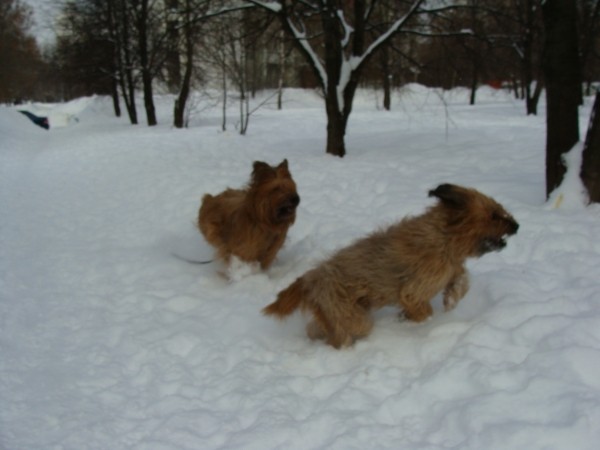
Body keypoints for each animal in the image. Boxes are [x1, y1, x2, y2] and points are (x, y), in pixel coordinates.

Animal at [264, 183, 516, 348]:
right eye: (494, 215)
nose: (517, 226)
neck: (444, 236)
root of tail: (309, 278)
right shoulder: (415, 289)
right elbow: (424, 309)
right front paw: (408, 320)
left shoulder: (450, 268)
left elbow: (462, 279)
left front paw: (451, 297)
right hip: (352, 316)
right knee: (340, 336)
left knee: (316, 328)